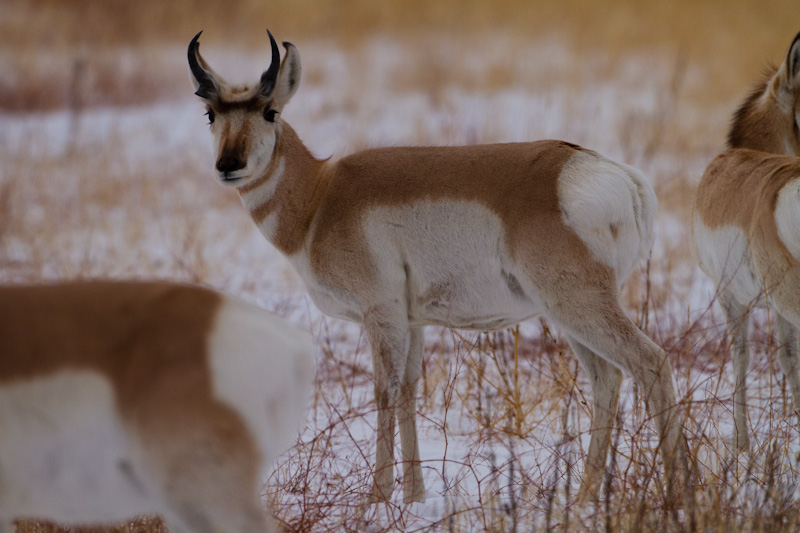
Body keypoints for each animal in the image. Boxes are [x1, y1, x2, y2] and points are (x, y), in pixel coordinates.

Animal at [191, 29, 692, 502]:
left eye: (270, 112)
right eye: (211, 114)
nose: (229, 165)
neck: (321, 197)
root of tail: (618, 177)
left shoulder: (381, 314)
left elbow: (384, 390)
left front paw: (377, 497)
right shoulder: (411, 323)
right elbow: (409, 391)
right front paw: (415, 496)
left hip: (579, 305)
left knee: (650, 363)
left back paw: (675, 493)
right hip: (570, 316)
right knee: (607, 379)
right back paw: (585, 497)